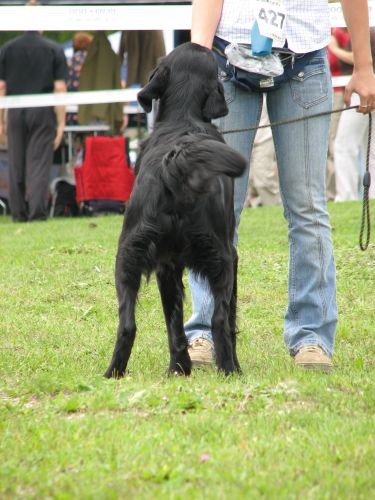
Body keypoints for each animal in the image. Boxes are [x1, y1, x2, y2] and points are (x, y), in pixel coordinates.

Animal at [104, 43, 248, 378]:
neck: (184, 118)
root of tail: (177, 164)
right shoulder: (231, 254)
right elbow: (228, 318)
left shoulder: (166, 265)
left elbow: (174, 322)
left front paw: (179, 369)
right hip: (220, 258)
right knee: (219, 320)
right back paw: (230, 371)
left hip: (127, 257)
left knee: (127, 324)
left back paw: (114, 374)